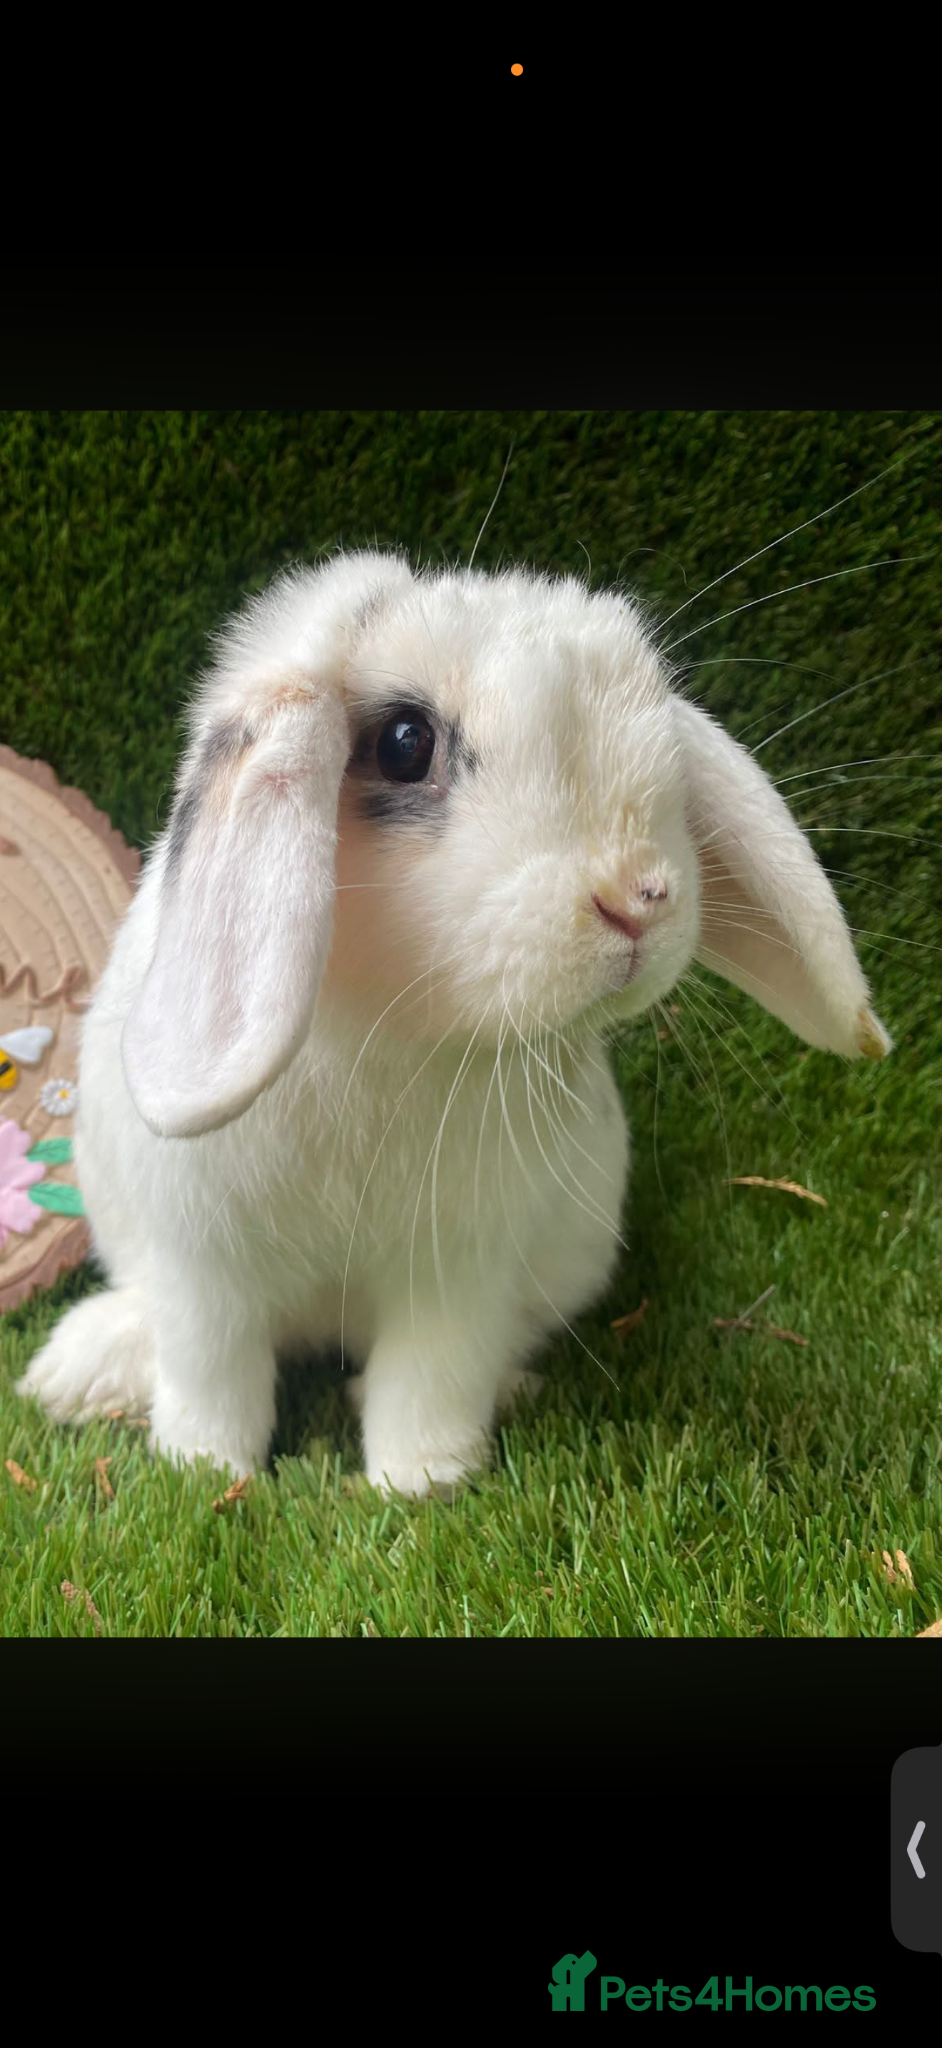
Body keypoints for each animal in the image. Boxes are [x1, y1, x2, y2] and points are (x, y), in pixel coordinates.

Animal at [16, 550, 892, 1496]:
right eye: (404, 743)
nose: (641, 898)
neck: (386, 1029)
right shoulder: (204, 1265)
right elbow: (214, 1375)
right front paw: (205, 1472)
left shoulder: (459, 1268)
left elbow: (432, 1373)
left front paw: (422, 1481)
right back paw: (77, 1372)